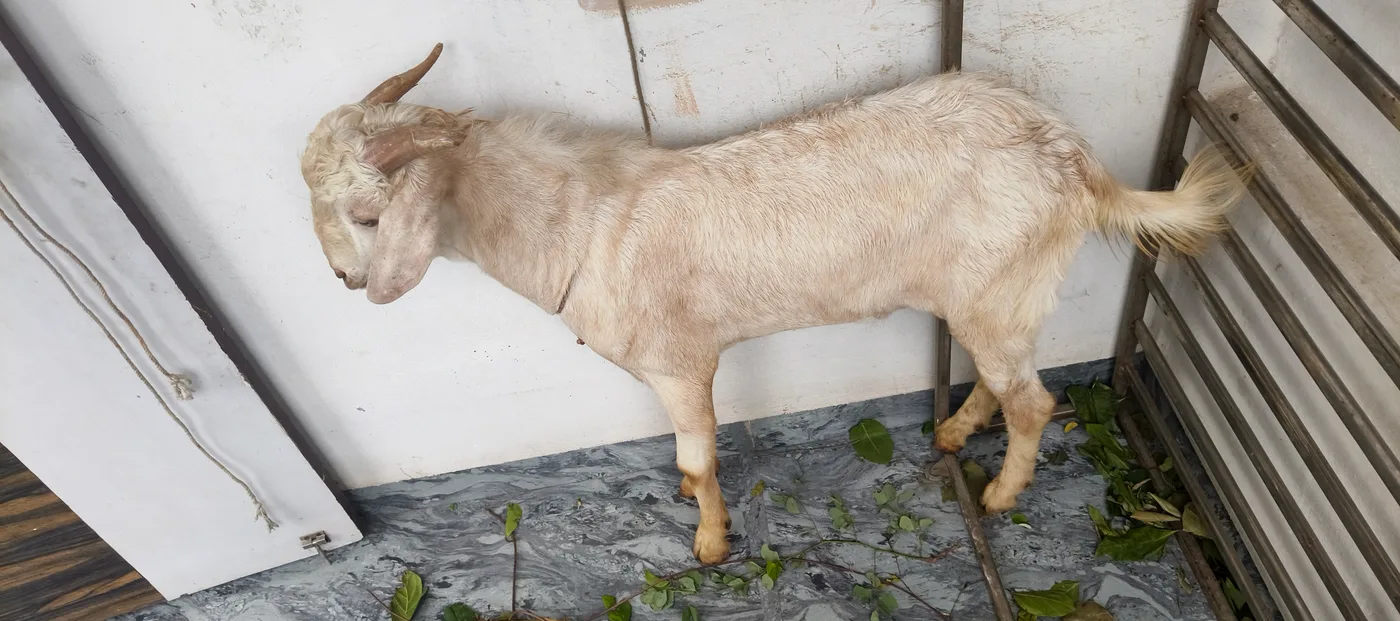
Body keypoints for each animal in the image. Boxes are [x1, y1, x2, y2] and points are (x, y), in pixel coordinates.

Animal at [300, 44, 1248, 564]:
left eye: (369, 216)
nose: (343, 283)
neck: (585, 220)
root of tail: (1076, 160)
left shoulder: (680, 363)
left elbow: (696, 461)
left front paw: (711, 543)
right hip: (990, 295)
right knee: (1005, 379)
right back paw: (952, 432)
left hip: (1000, 290)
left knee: (1037, 402)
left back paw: (1001, 496)